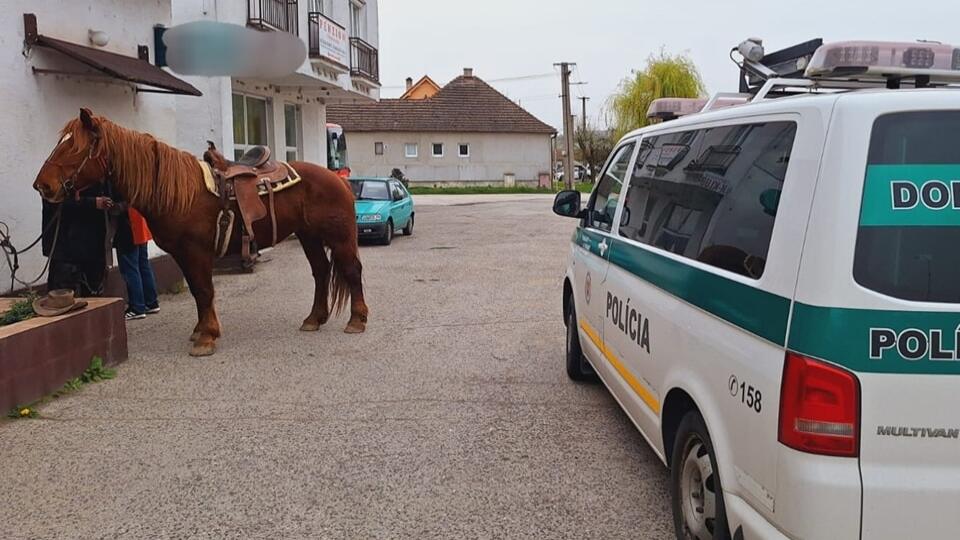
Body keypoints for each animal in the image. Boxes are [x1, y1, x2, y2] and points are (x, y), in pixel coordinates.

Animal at [31, 107, 366, 356]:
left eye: (74, 148)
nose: (42, 185)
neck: (181, 192)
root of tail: (338, 180)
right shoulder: (182, 254)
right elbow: (196, 291)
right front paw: (200, 331)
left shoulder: (196, 251)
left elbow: (205, 290)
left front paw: (207, 337)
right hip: (309, 236)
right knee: (321, 272)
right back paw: (314, 319)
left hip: (340, 237)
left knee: (351, 270)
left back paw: (357, 320)